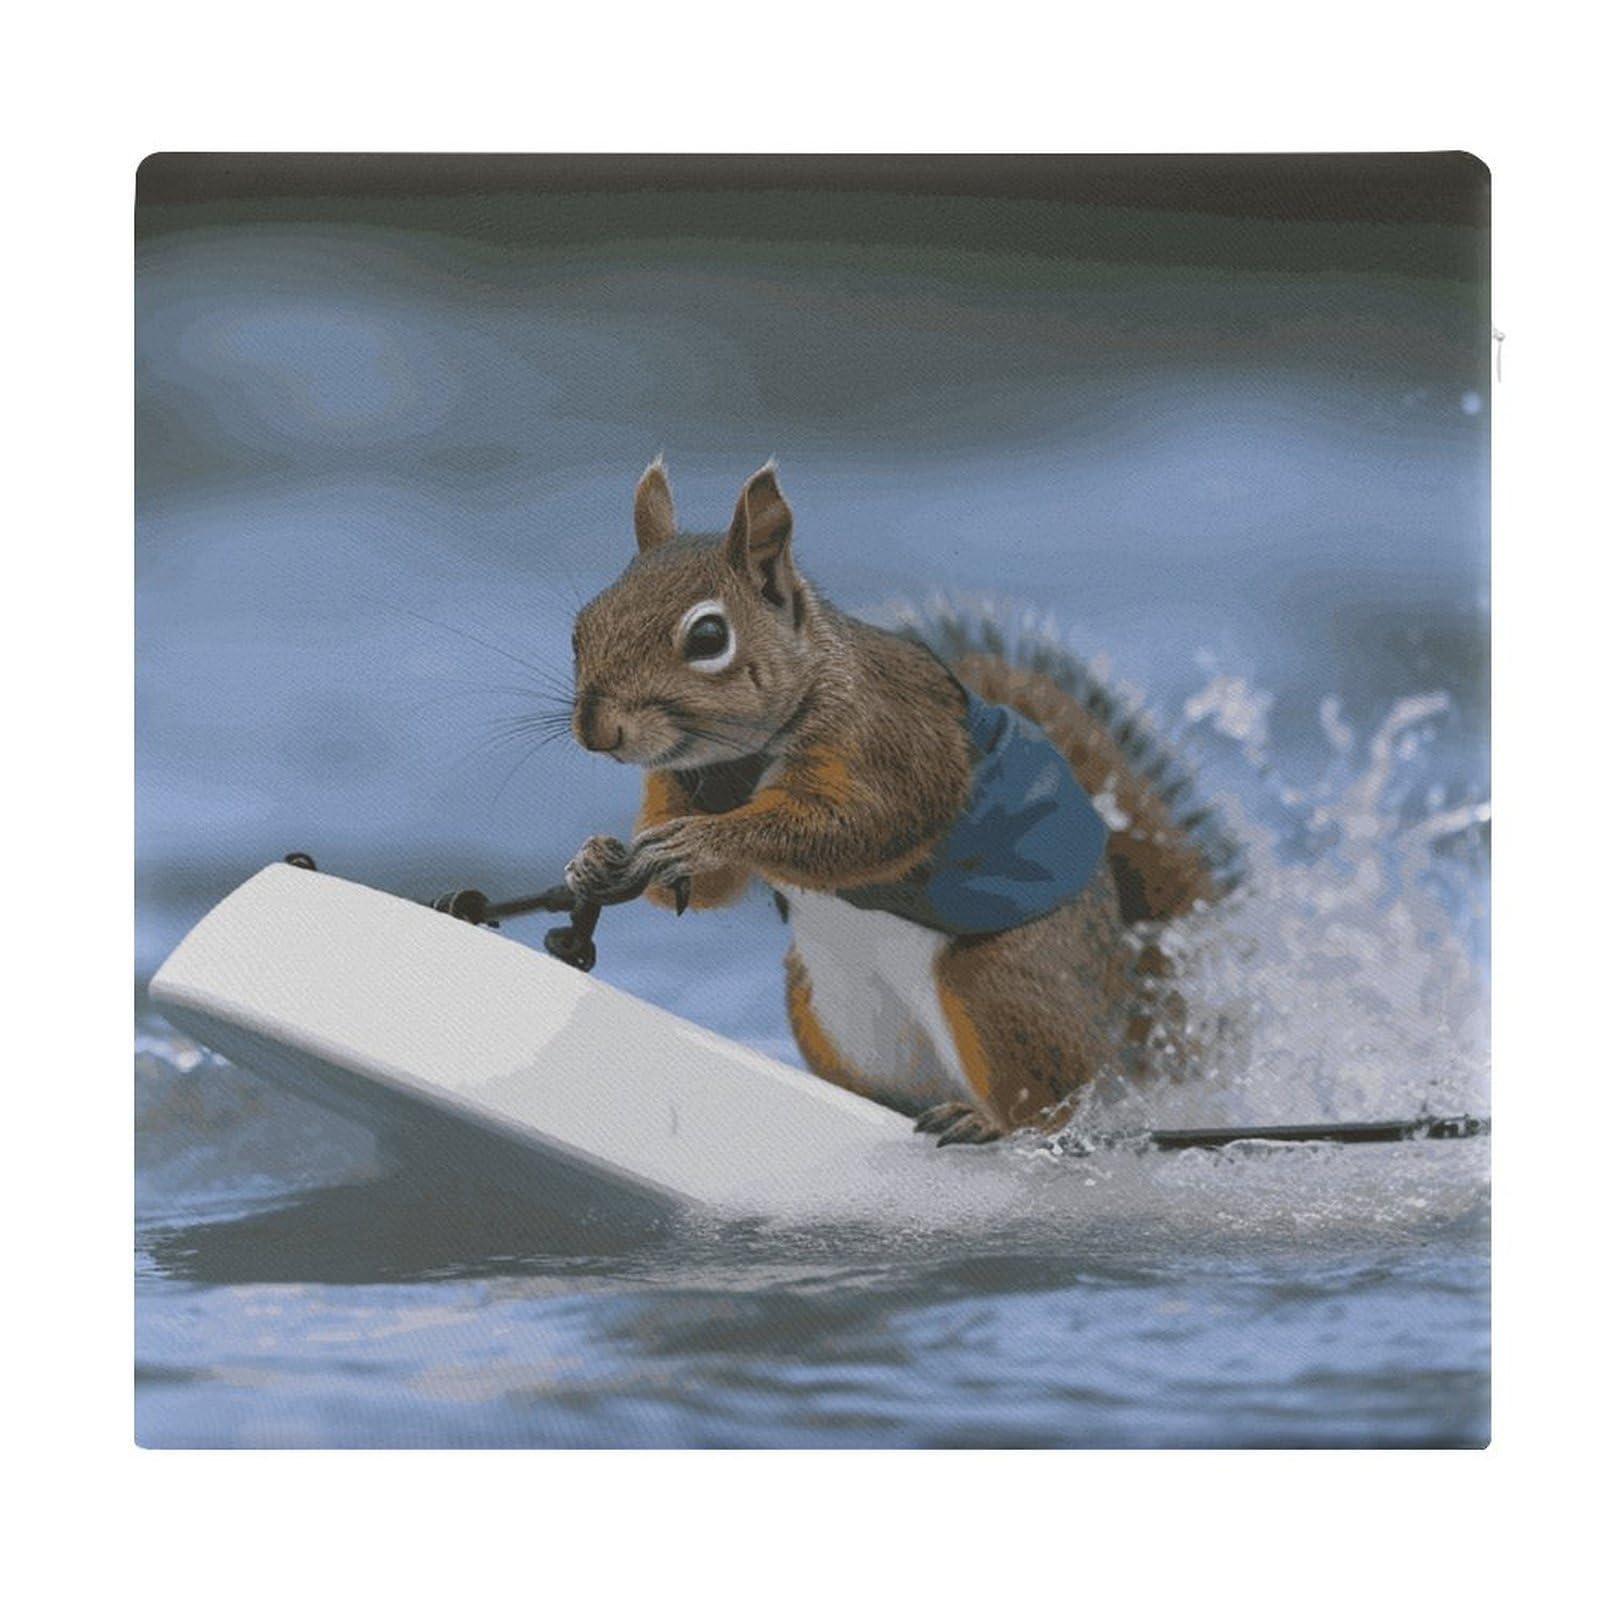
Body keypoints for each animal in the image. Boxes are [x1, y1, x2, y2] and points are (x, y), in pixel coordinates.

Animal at [564, 460, 1239, 1145]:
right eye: (582, 626)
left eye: (708, 636)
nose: (597, 731)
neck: (741, 758)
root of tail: (1126, 1034)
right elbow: (712, 889)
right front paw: (596, 857)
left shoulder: (897, 743)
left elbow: (858, 829)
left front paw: (699, 840)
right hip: (823, 1009)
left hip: (1003, 984)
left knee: (1059, 1107)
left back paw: (990, 1122)